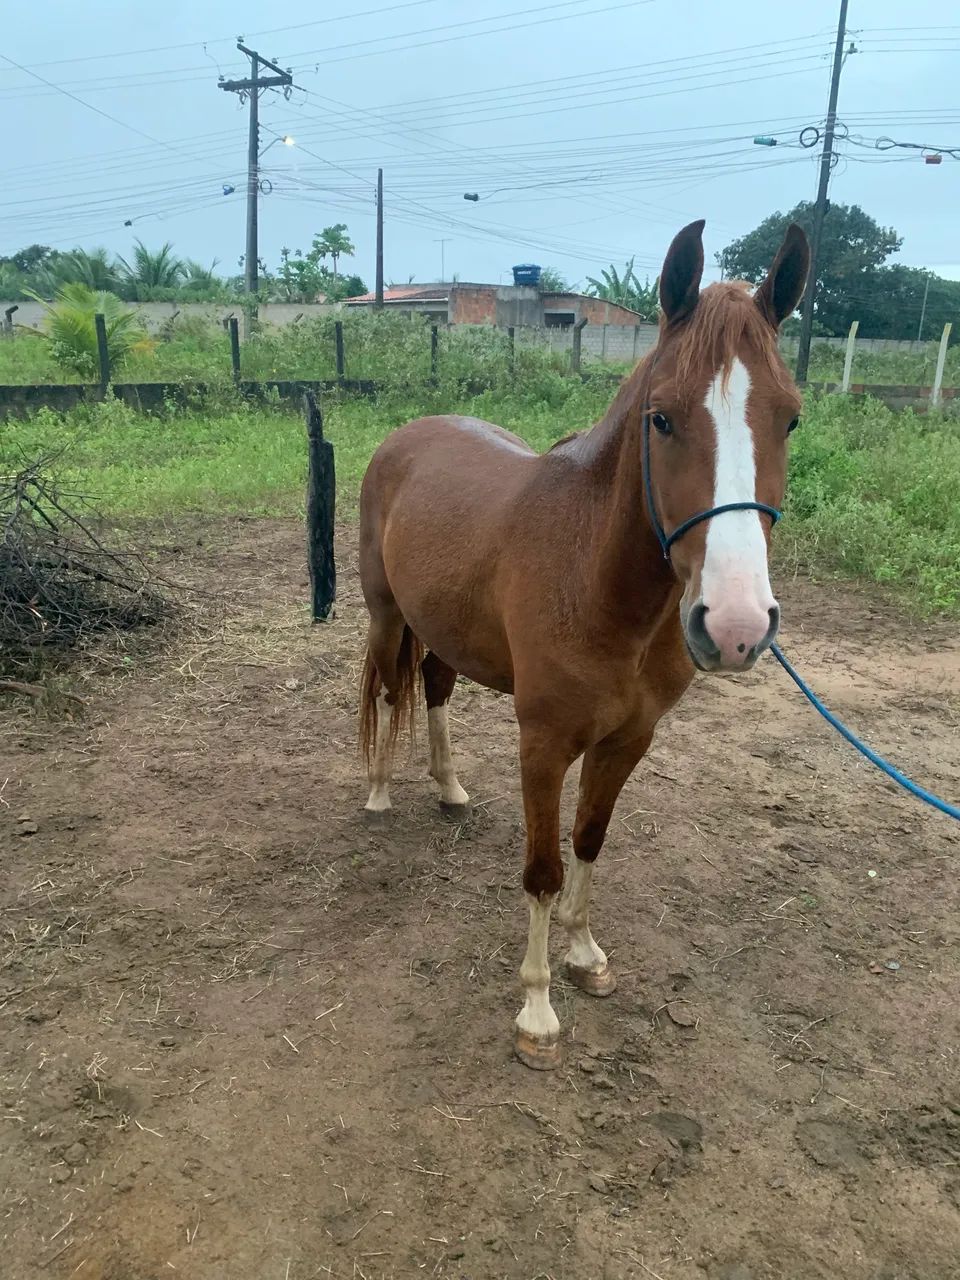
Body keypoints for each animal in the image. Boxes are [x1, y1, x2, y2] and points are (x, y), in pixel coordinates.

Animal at [357, 219, 810, 1069]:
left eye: (790, 417)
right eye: (661, 417)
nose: (735, 627)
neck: (597, 582)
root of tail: (412, 433)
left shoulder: (627, 740)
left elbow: (589, 842)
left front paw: (584, 955)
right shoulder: (543, 743)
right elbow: (542, 868)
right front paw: (536, 1010)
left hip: (442, 629)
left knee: (433, 688)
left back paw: (449, 787)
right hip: (386, 613)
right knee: (392, 688)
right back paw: (377, 790)